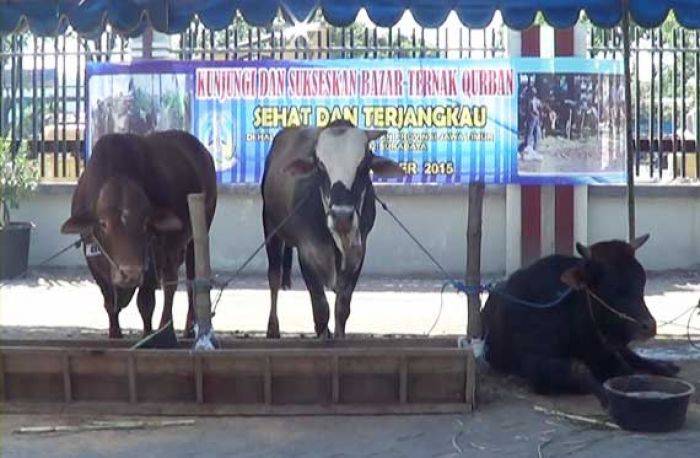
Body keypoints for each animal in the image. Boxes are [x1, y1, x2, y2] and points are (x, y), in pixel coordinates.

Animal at [262, 120, 404, 338]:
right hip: (271, 227)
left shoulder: (358, 251)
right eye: (320, 165)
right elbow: (321, 310)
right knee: (274, 277)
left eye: (363, 165)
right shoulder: (307, 251)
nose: (342, 216)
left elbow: (342, 308)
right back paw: (273, 329)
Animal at [482, 236, 680, 404]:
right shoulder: (534, 363)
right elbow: (581, 371)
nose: (648, 326)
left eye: (641, 281)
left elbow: (626, 368)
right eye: (610, 288)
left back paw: (665, 366)